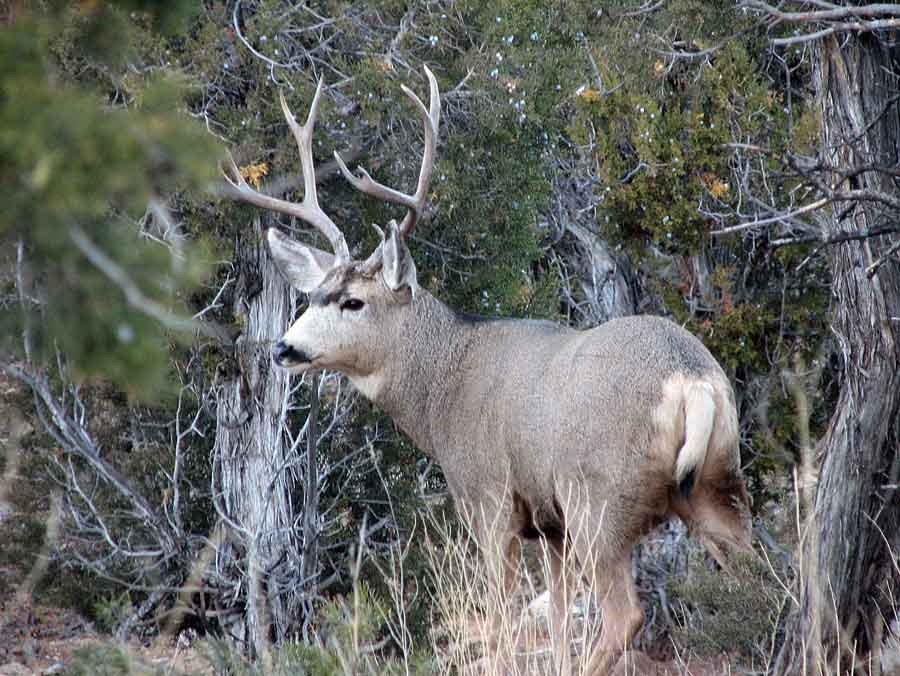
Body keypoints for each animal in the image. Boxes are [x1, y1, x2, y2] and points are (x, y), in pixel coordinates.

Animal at [223, 66, 752, 672]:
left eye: (353, 302)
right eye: (311, 296)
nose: (283, 348)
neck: (444, 384)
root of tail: (690, 379)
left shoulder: (488, 495)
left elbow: (501, 619)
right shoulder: (551, 526)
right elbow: (559, 619)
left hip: (597, 497)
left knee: (626, 614)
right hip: (717, 482)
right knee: (761, 581)